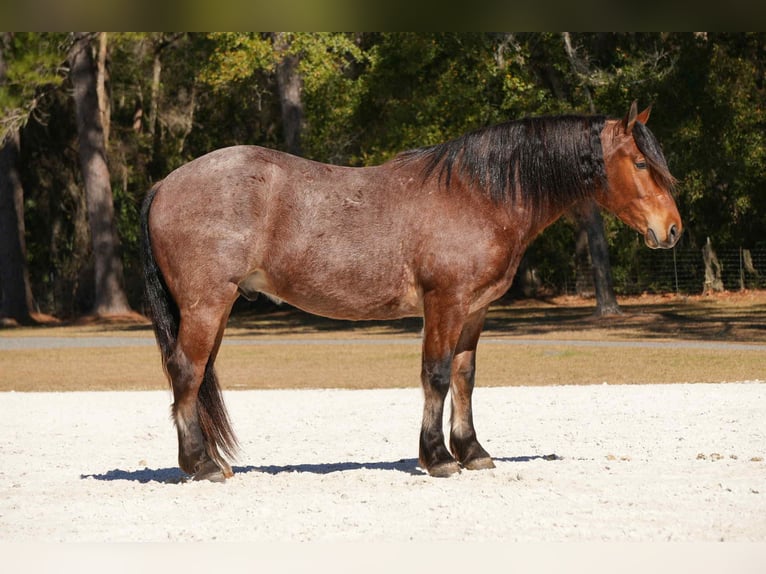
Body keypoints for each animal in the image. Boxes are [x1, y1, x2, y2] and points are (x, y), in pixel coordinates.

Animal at [141, 101, 681, 481]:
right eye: (639, 163)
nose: (672, 229)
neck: (477, 194)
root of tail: (165, 184)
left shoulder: (474, 310)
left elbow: (464, 377)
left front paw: (473, 452)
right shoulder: (445, 302)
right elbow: (436, 376)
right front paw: (437, 457)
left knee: (194, 375)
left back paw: (209, 461)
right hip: (207, 304)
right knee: (187, 372)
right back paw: (201, 465)